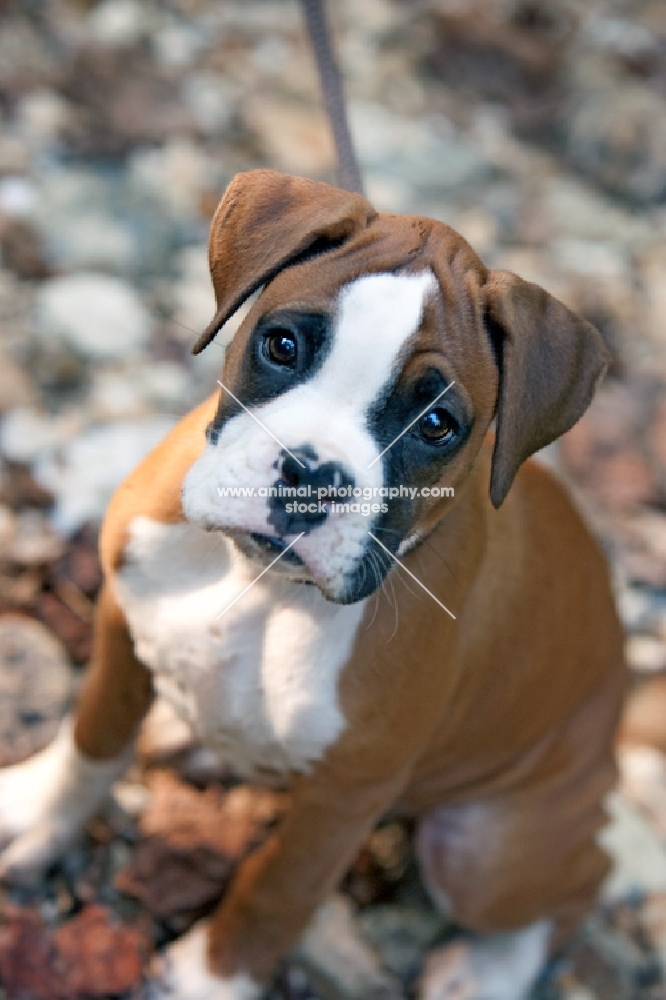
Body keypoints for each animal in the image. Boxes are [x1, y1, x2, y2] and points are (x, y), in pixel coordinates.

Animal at [0, 172, 624, 1000]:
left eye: (437, 423)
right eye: (283, 344)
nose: (312, 473)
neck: (263, 587)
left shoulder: (344, 797)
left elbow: (279, 887)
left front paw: (214, 979)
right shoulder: (120, 630)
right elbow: (91, 741)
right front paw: (39, 816)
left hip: (483, 851)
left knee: (581, 882)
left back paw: (487, 969)